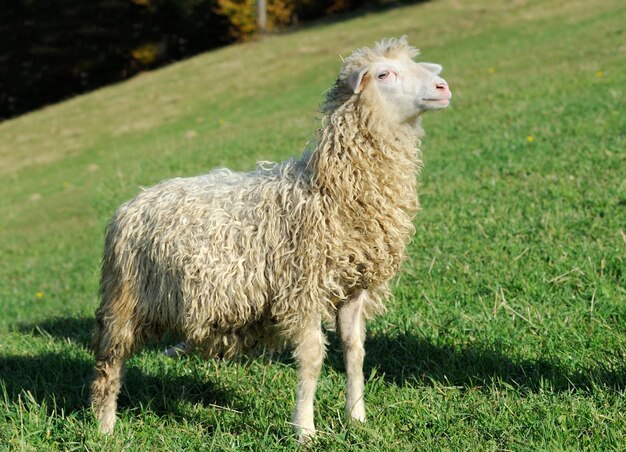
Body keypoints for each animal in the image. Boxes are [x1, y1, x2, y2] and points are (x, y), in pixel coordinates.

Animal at [90, 36, 448, 442]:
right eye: (385, 74)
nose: (443, 87)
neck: (328, 190)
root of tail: (131, 204)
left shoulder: (352, 288)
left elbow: (355, 351)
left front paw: (357, 417)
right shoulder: (301, 290)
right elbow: (312, 358)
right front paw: (304, 430)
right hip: (125, 300)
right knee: (109, 363)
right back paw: (105, 427)